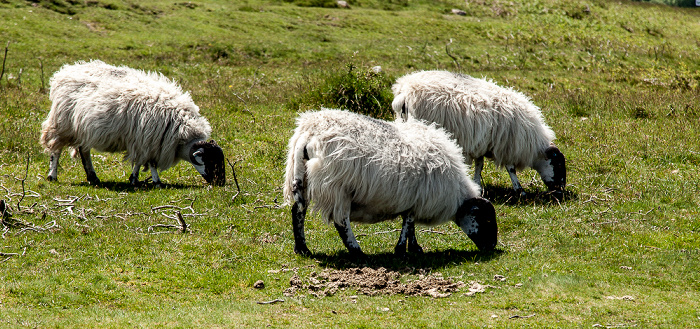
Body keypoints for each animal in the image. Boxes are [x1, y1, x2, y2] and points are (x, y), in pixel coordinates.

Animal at [39, 60, 226, 186]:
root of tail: (64, 72)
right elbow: (150, 162)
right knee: (56, 150)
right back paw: (52, 175)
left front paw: (135, 179)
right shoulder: (150, 141)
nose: (221, 183)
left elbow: (140, 162)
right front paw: (155, 182)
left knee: (84, 151)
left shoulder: (145, 141)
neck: (181, 136)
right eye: (211, 161)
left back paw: (93, 177)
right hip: (63, 124)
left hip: (83, 129)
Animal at [280, 107, 498, 256]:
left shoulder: (413, 199)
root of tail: (309, 134)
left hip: (301, 177)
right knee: (341, 222)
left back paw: (302, 248)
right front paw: (401, 250)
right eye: (486, 219)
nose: (492, 247)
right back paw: (357, 252)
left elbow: (410, 225)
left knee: (298, 211)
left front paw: (414, 248)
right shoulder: (417, 199)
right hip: (337, 186)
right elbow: (408, 224)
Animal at [392, 70, 568, 196]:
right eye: (559, 164)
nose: (561, 191)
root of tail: (404, 92)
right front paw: (520, 190)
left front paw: (477, 185)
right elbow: (510, 169)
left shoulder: (482, 144)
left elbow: (479, 165)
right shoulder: (506, 145)